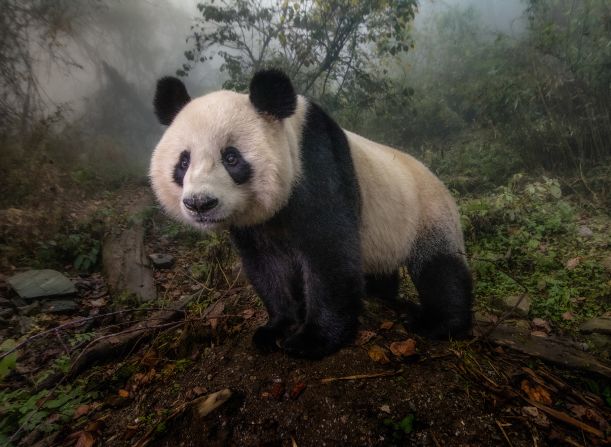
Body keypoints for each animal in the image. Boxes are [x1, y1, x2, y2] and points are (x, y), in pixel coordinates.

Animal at [149, 68, 474, 358]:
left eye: (231, 158)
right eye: (183, 162)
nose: (200, 203)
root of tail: (435, 177)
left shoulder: (317, 165)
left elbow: (329, 253)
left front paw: (312, 340)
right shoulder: (252, 221)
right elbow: (267, 265)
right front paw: (276, 328)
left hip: (427, 213)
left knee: (440, 267)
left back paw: (438, 323)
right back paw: (380, 295)